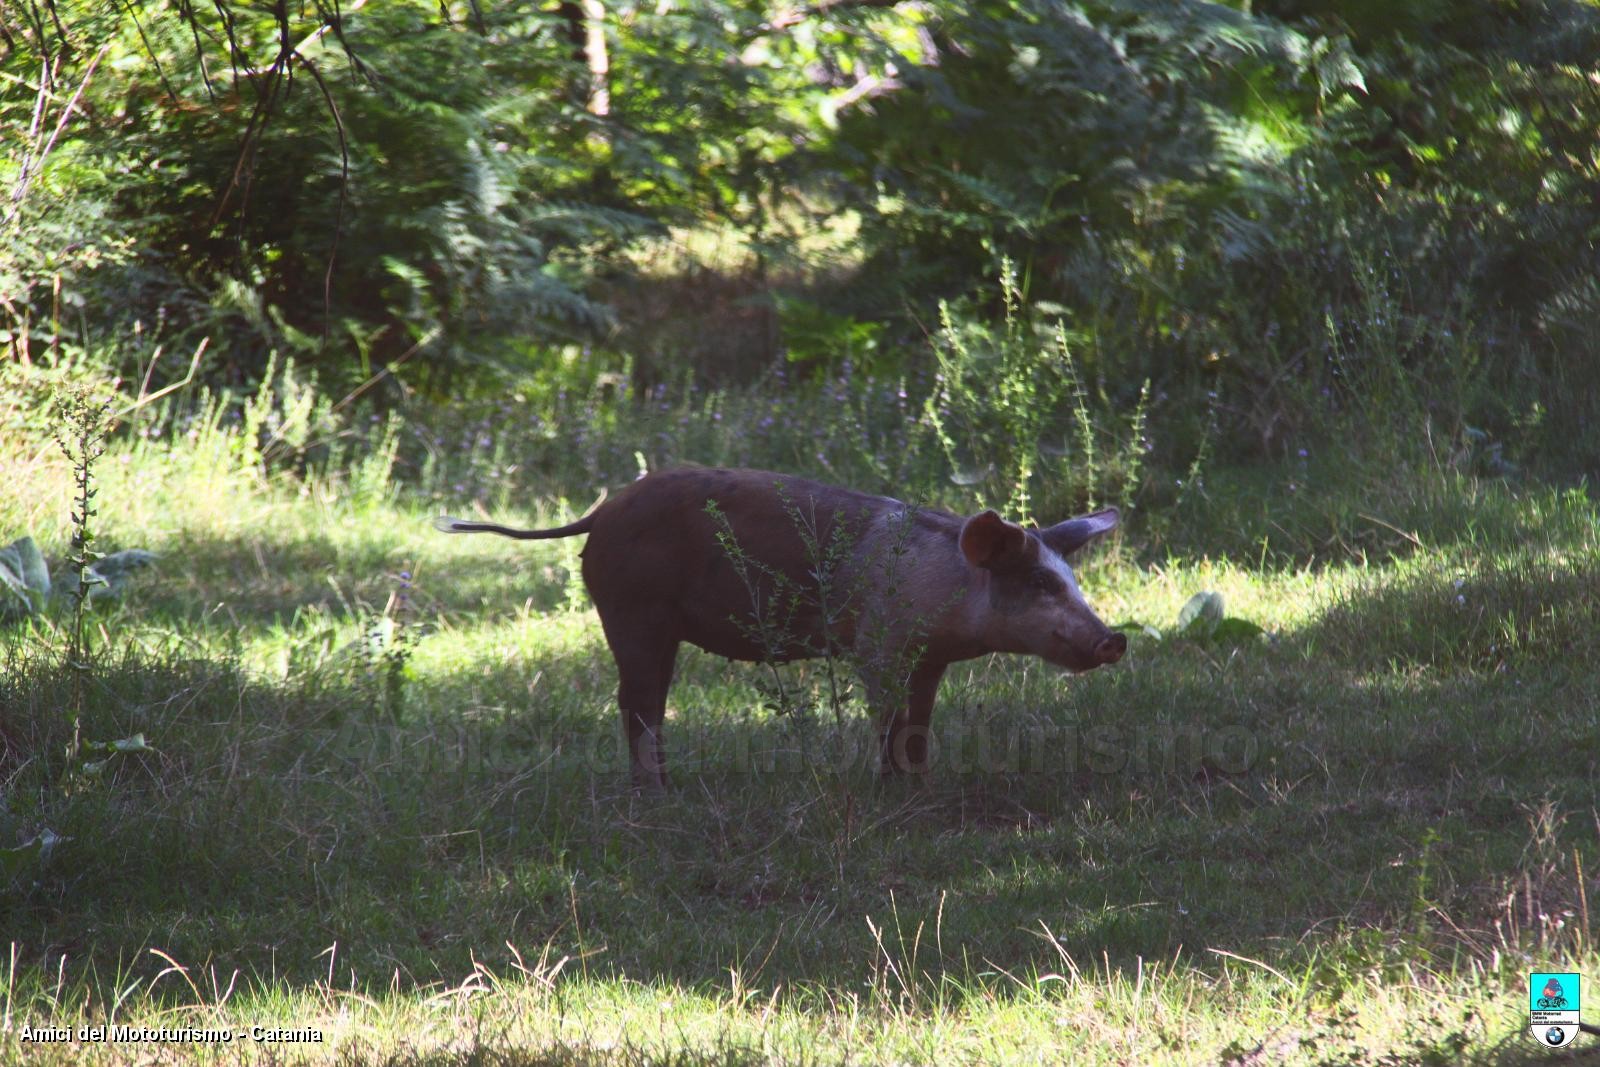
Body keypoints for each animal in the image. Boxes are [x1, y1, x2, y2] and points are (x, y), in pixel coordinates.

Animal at [432, 463, 1120, 790]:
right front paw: (892, 788)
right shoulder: (877, 646)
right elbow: (889, 720)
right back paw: (656, 792)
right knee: (636, 703)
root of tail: (600, 512)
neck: (945, 586)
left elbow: (920, 725)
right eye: (1038, 583)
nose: (1115, 638)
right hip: (631, 613)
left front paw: (923, 784)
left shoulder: (929, 658)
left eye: (1071, 578)